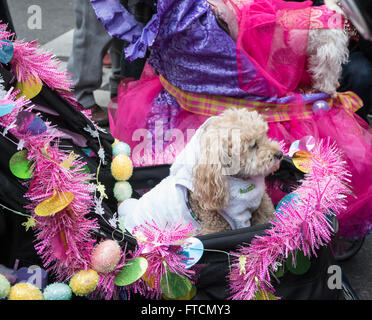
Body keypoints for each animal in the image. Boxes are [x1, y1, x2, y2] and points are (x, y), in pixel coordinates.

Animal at [119, 109, 282, 236]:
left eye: (265, 135)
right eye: (253, 145)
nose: (280, 154)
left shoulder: (260, 205)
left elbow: (267, 216)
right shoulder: (219, 224)